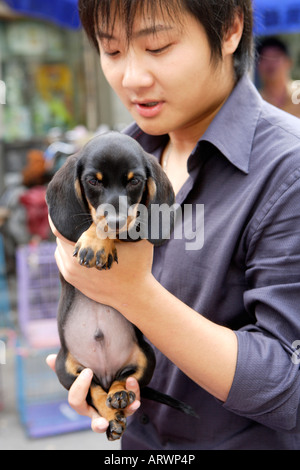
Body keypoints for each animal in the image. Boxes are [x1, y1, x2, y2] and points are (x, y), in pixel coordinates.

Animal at [46, 130, 196, 438]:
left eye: (134, 181)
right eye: (93, 181)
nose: (116, 220)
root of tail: (104, 373)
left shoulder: (135, 225)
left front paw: (97, 241)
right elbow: (96, 221)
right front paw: (95, 240)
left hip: (146, 356)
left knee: (123, 378)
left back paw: (120, 395)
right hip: (66, 369)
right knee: (93, 389)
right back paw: (112, 413)